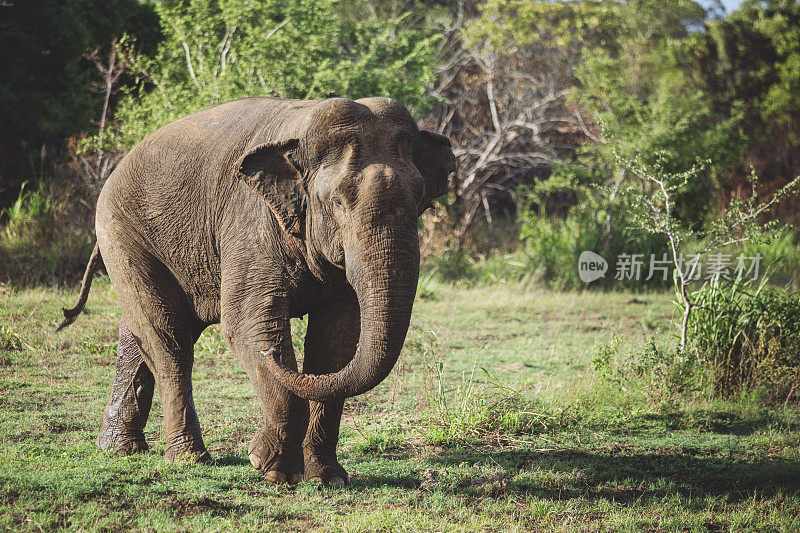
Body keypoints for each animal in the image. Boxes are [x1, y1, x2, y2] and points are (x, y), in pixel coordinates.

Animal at [58, 94, 454, 482]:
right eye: (338, 202)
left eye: (420, 195)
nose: (273, 354)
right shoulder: (250, 221)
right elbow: (248, 325)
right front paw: (271, 468)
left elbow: (337, 341)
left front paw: (326, 478)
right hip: (124, 233)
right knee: (169, 339)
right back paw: (189, 459)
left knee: (139, 334)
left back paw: (119, 449)